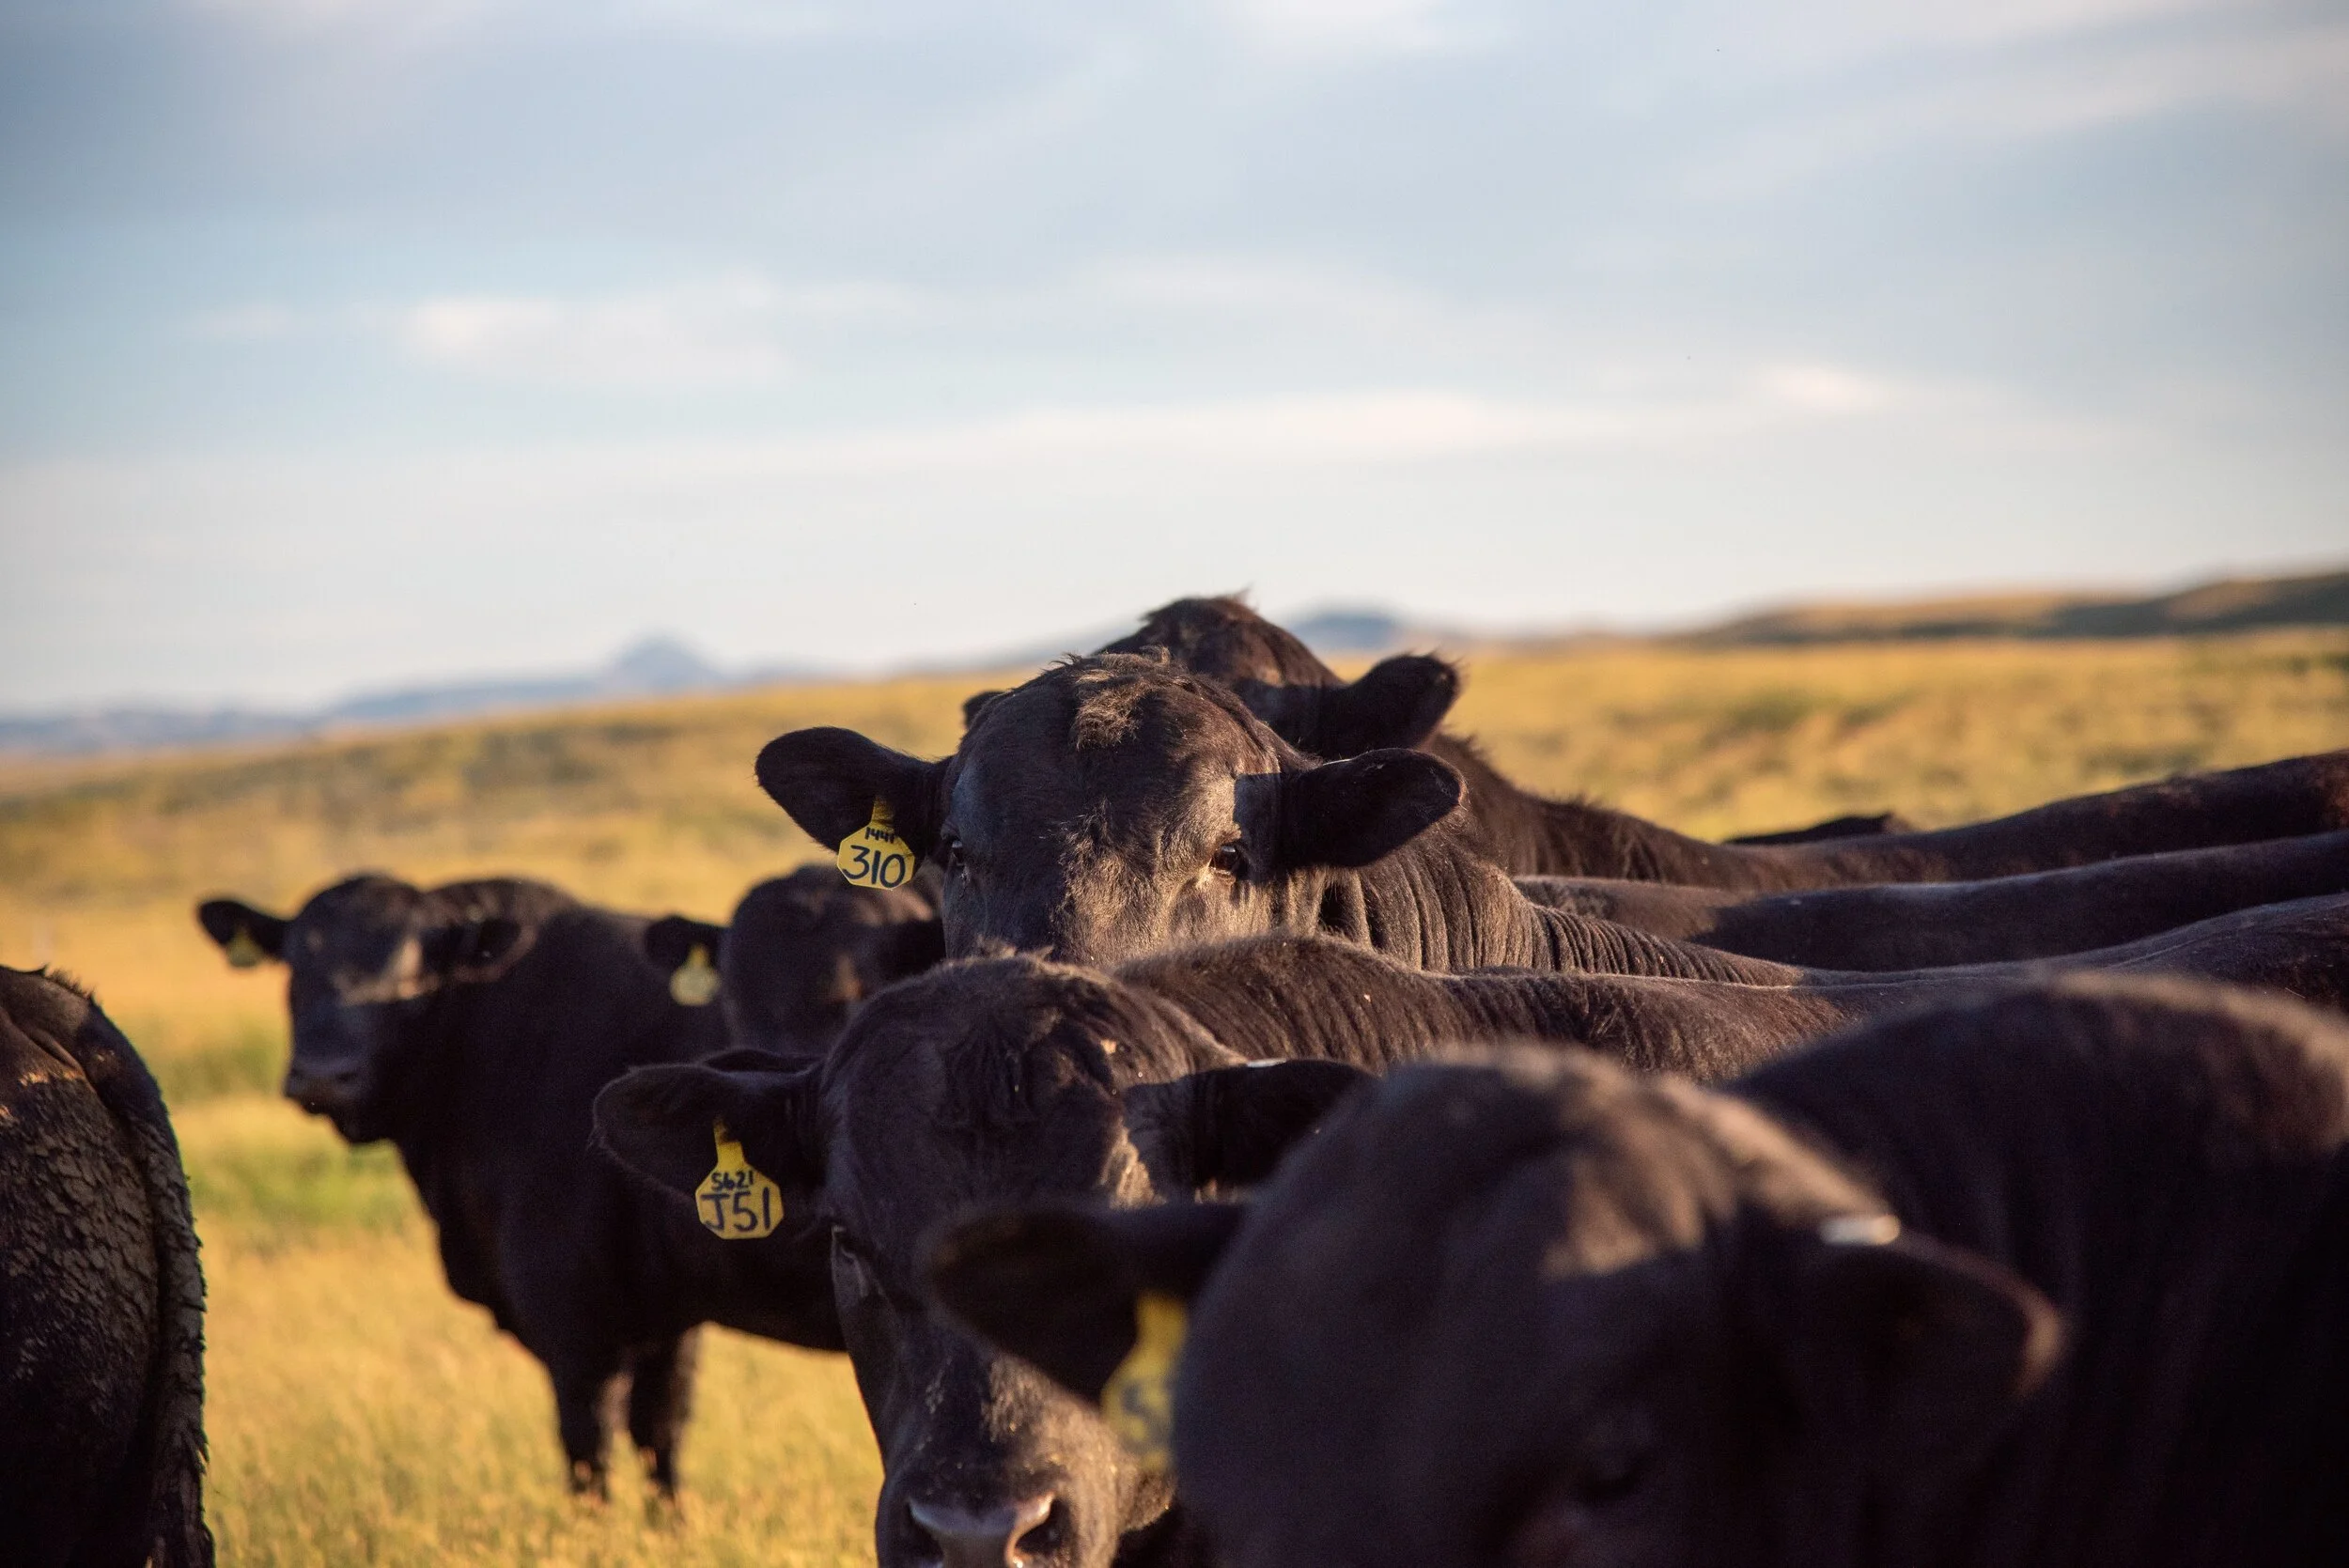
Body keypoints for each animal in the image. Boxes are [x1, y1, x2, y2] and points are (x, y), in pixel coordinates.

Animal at [195, 874, 842, 1499]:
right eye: (295, 966)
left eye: (411, 976)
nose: (324, 1076)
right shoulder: (665, 1316)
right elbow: (659, 1437)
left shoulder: (573, 1317)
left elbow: (589, 1452)